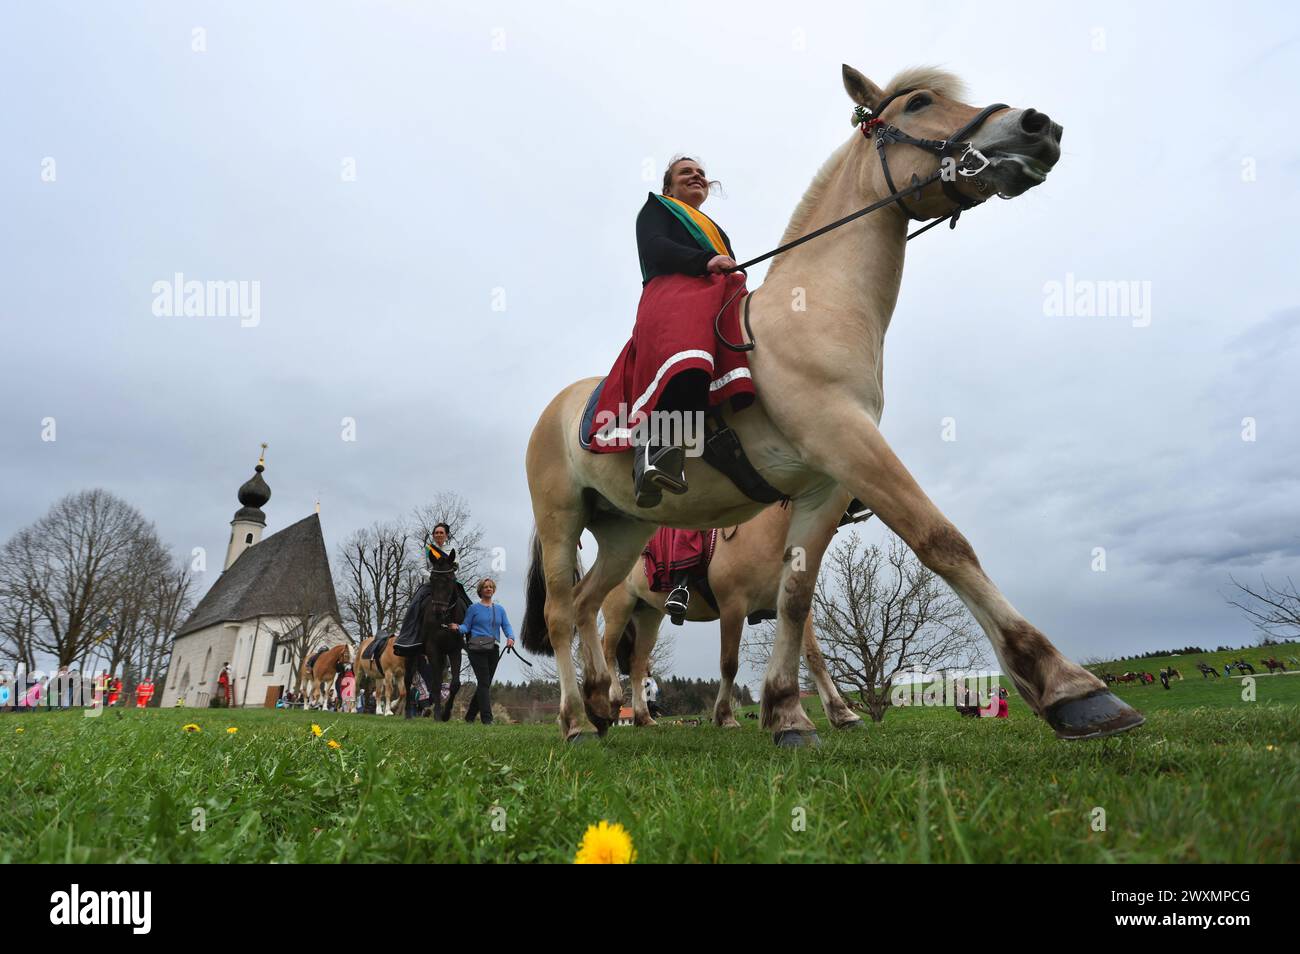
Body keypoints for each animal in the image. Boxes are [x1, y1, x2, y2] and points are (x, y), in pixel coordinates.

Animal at [603, 504, 868, 727]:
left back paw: (644, 718)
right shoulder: (733, 607)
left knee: (637, 664)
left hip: (649, 616)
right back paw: (612, 701)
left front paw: (842, 714)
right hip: (618, 609)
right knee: (607, 651)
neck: (771, 528)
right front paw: (725, 717)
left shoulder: (796, 607)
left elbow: (815, 658)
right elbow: (729, 664)